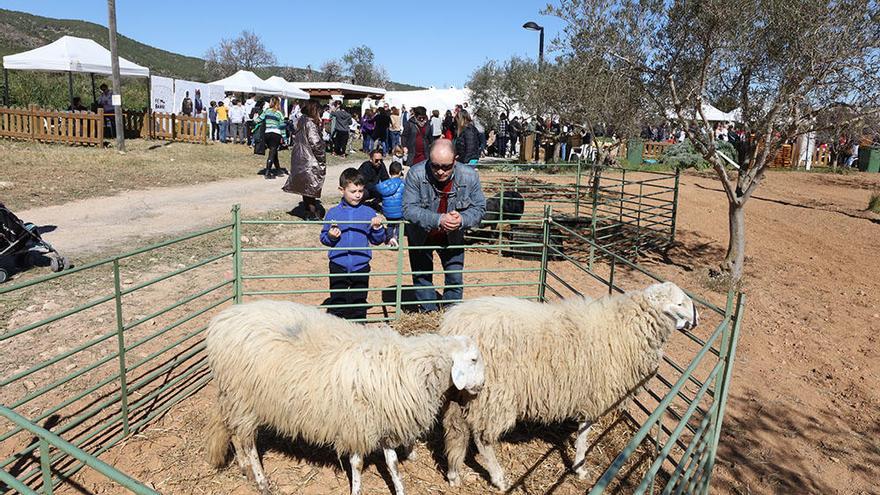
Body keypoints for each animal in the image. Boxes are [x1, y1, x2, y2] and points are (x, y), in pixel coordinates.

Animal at [204, 298, 484, 495]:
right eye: (473, 359)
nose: (481, 386)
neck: (404, 367)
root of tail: (222, 319)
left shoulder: (382, 422)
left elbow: (392, 463)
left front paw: (400, 488)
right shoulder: (357, 423)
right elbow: (357, 463)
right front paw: (357, 489)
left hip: (235, 399)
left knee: (236, 434)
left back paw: (245, 469)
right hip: (243, 398)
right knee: (249, 443)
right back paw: (261, 481)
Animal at [440, 280, 700, 490]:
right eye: (680, 303)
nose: (697, 319)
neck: (626, 327)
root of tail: (454, 323)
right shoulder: (596, 394)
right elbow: (584, 435)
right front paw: (580, 467)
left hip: (462, 394)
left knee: (456, 430)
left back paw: (453, 474)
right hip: (493, 395)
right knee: (482, 440)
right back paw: (499, 479)